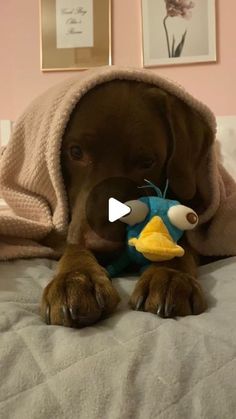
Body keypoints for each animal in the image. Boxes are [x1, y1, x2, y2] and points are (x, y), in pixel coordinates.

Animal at [41, 79, 209, 328]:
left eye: (146, 162)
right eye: (76, 152)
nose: (102, 246)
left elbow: (182, 243)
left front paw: (170, 274)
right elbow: (73, 245)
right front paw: (75, 277)